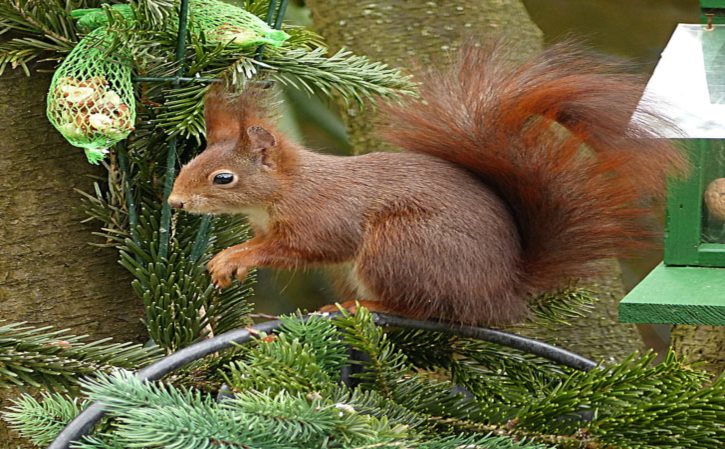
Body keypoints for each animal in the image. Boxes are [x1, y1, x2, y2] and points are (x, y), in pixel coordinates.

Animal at [167, 42, 688, 324]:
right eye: (191, 163)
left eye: (223, 178)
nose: (174, 202)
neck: (287, 188)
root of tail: (503, 290)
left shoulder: (324, 215)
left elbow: (307, 246)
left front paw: (232, 257)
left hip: (400, 244)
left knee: (420, 309)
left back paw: (357, 305)